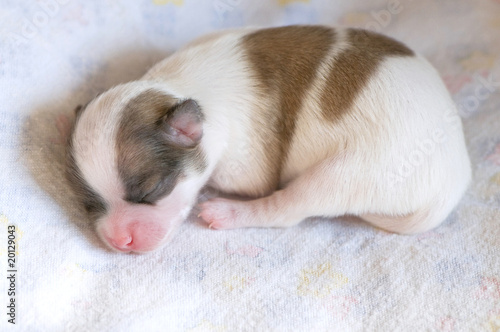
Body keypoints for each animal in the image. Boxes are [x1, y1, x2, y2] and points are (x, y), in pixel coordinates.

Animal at [67, 26, 472, 253]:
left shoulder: (244, 164)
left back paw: (228, 212)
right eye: (89, 203)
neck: (178, 87)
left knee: (287, 210)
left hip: (349, 173)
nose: (120, 242)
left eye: (153, 191)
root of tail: (452, 184)